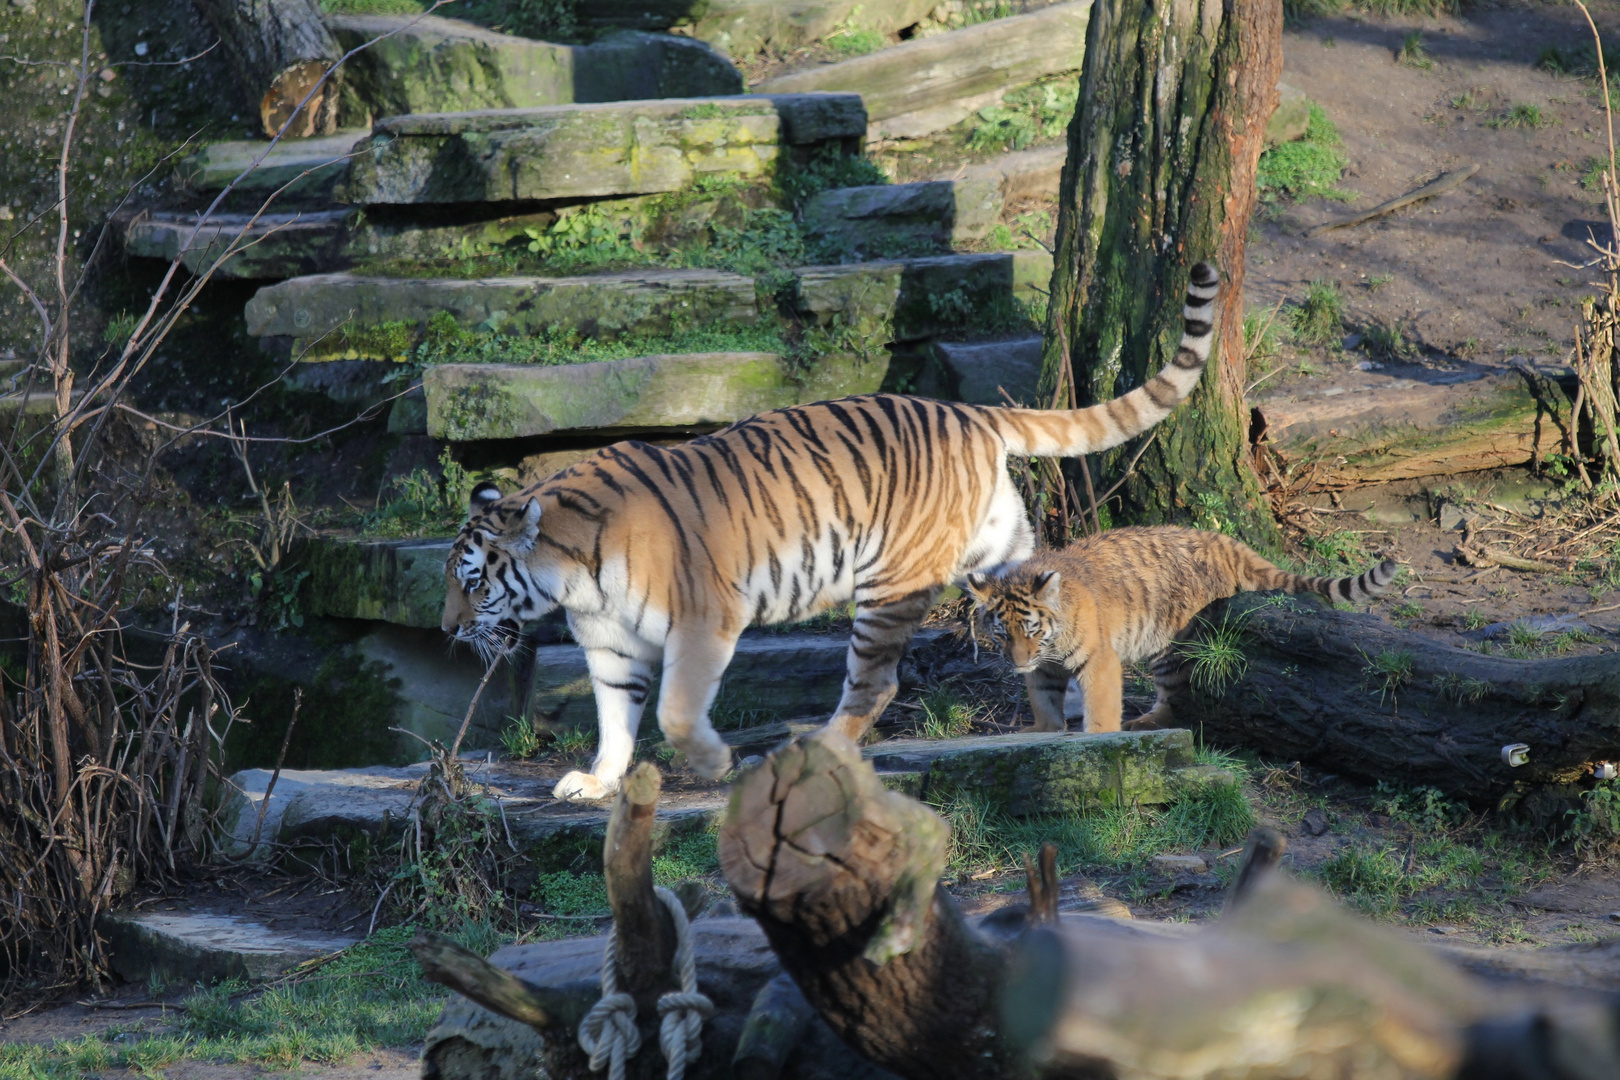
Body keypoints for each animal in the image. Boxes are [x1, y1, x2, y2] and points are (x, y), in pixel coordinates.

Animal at [443, 262, 1224, 803]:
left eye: (473, 583)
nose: (449, 631)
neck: (574, 577)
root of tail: (969, 412)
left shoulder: (704, 621)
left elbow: (674, 711)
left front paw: (714, 765)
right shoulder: (608, 644)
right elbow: (614, 717)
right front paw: (600, 781)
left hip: (888, 583)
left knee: (874, 684)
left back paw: (821, 743)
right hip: (999, 557)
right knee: (1040, 613)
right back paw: (1053, 719)